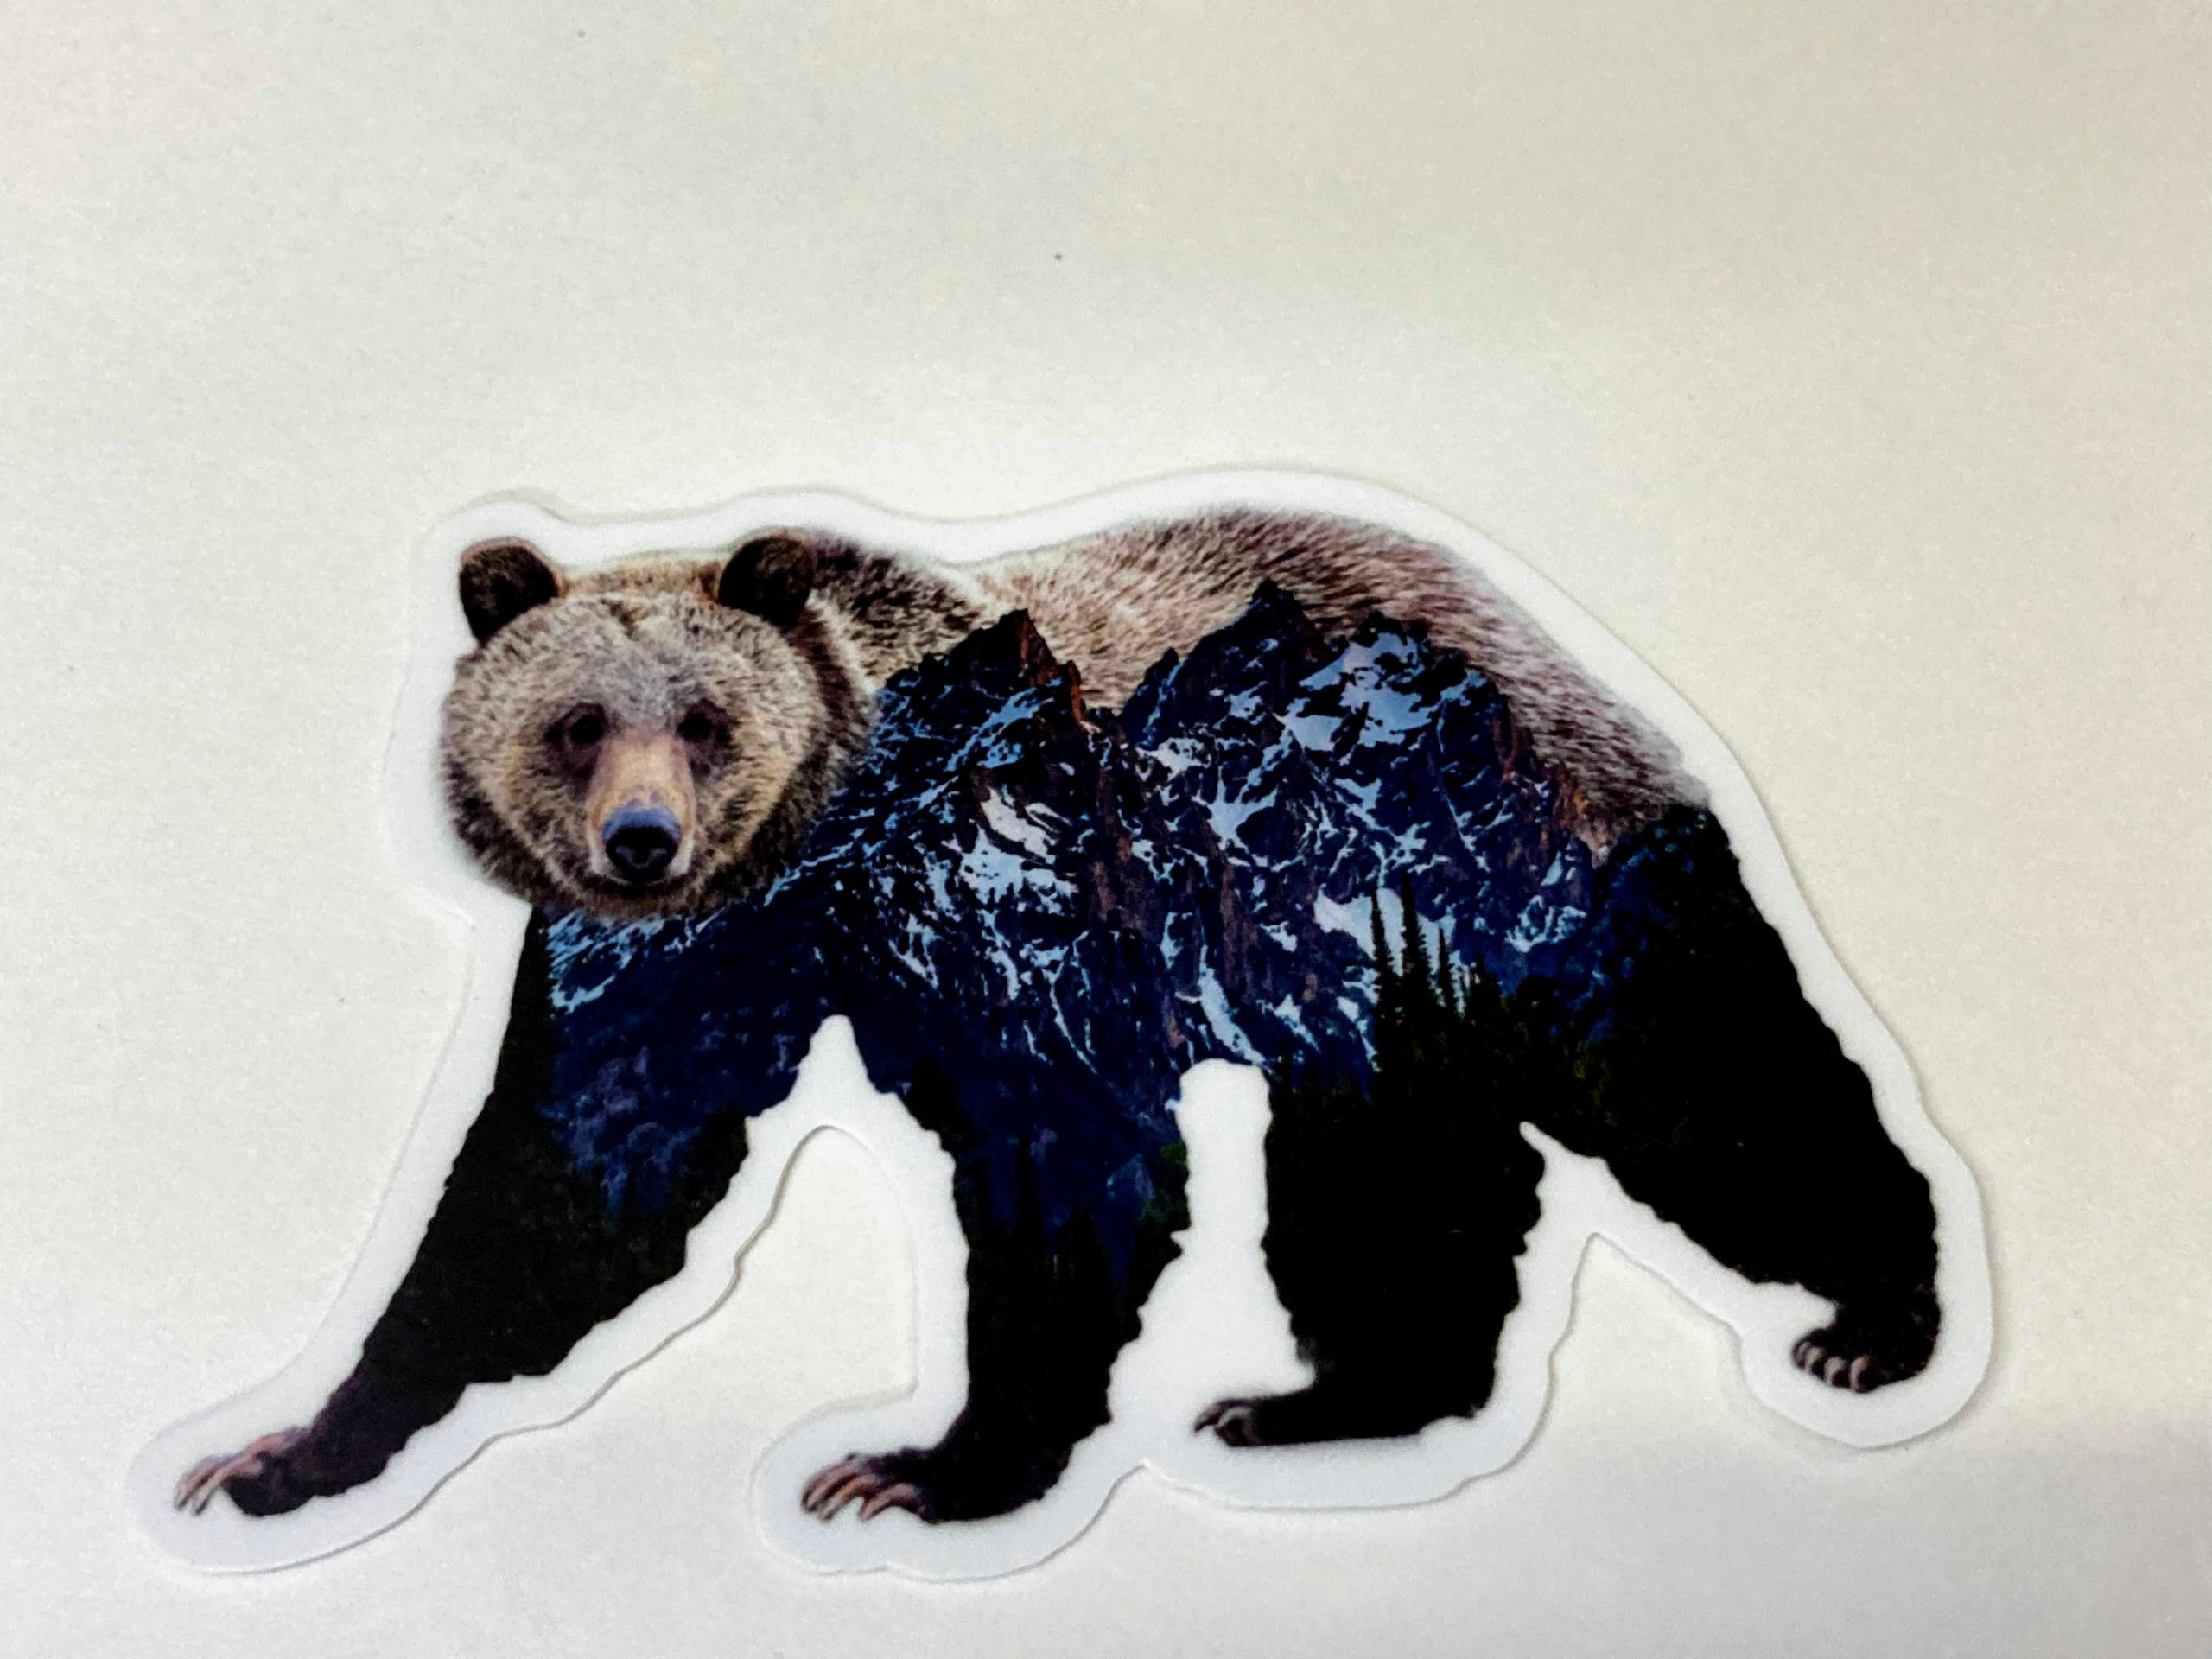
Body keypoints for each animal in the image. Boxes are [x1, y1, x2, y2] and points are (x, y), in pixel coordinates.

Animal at [171, 505, 1950, 1532]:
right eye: (573, 724)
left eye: (704, 719)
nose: (641, 845)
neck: (829, 858)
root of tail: (1523, 606)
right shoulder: (687, 972)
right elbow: (572, 1180)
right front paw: (279, 1451)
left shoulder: (1016, 897)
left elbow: (1059, 1166)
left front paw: (921, 1466)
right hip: (1354, 967)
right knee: (1387, 1170)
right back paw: (1330, 1398)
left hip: (1517, 856)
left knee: (1697, 1075)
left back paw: (1877, 1316)